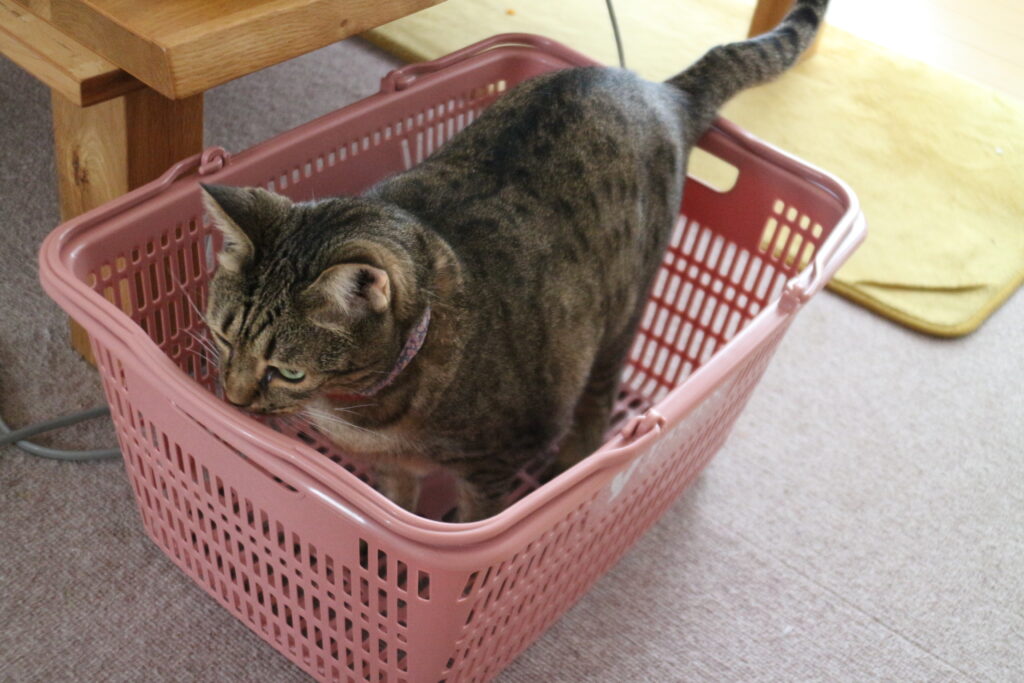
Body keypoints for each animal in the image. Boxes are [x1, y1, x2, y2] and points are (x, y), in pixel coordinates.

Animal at [201, 0, 827, 522]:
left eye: (288, 371)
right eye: (225, 337)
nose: (232, 400)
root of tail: (654, 88)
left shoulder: (497, 462)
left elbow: (473, 518)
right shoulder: (391, 468)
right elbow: (396, 500)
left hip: (620, 318)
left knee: (597, 405)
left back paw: (572, 461)